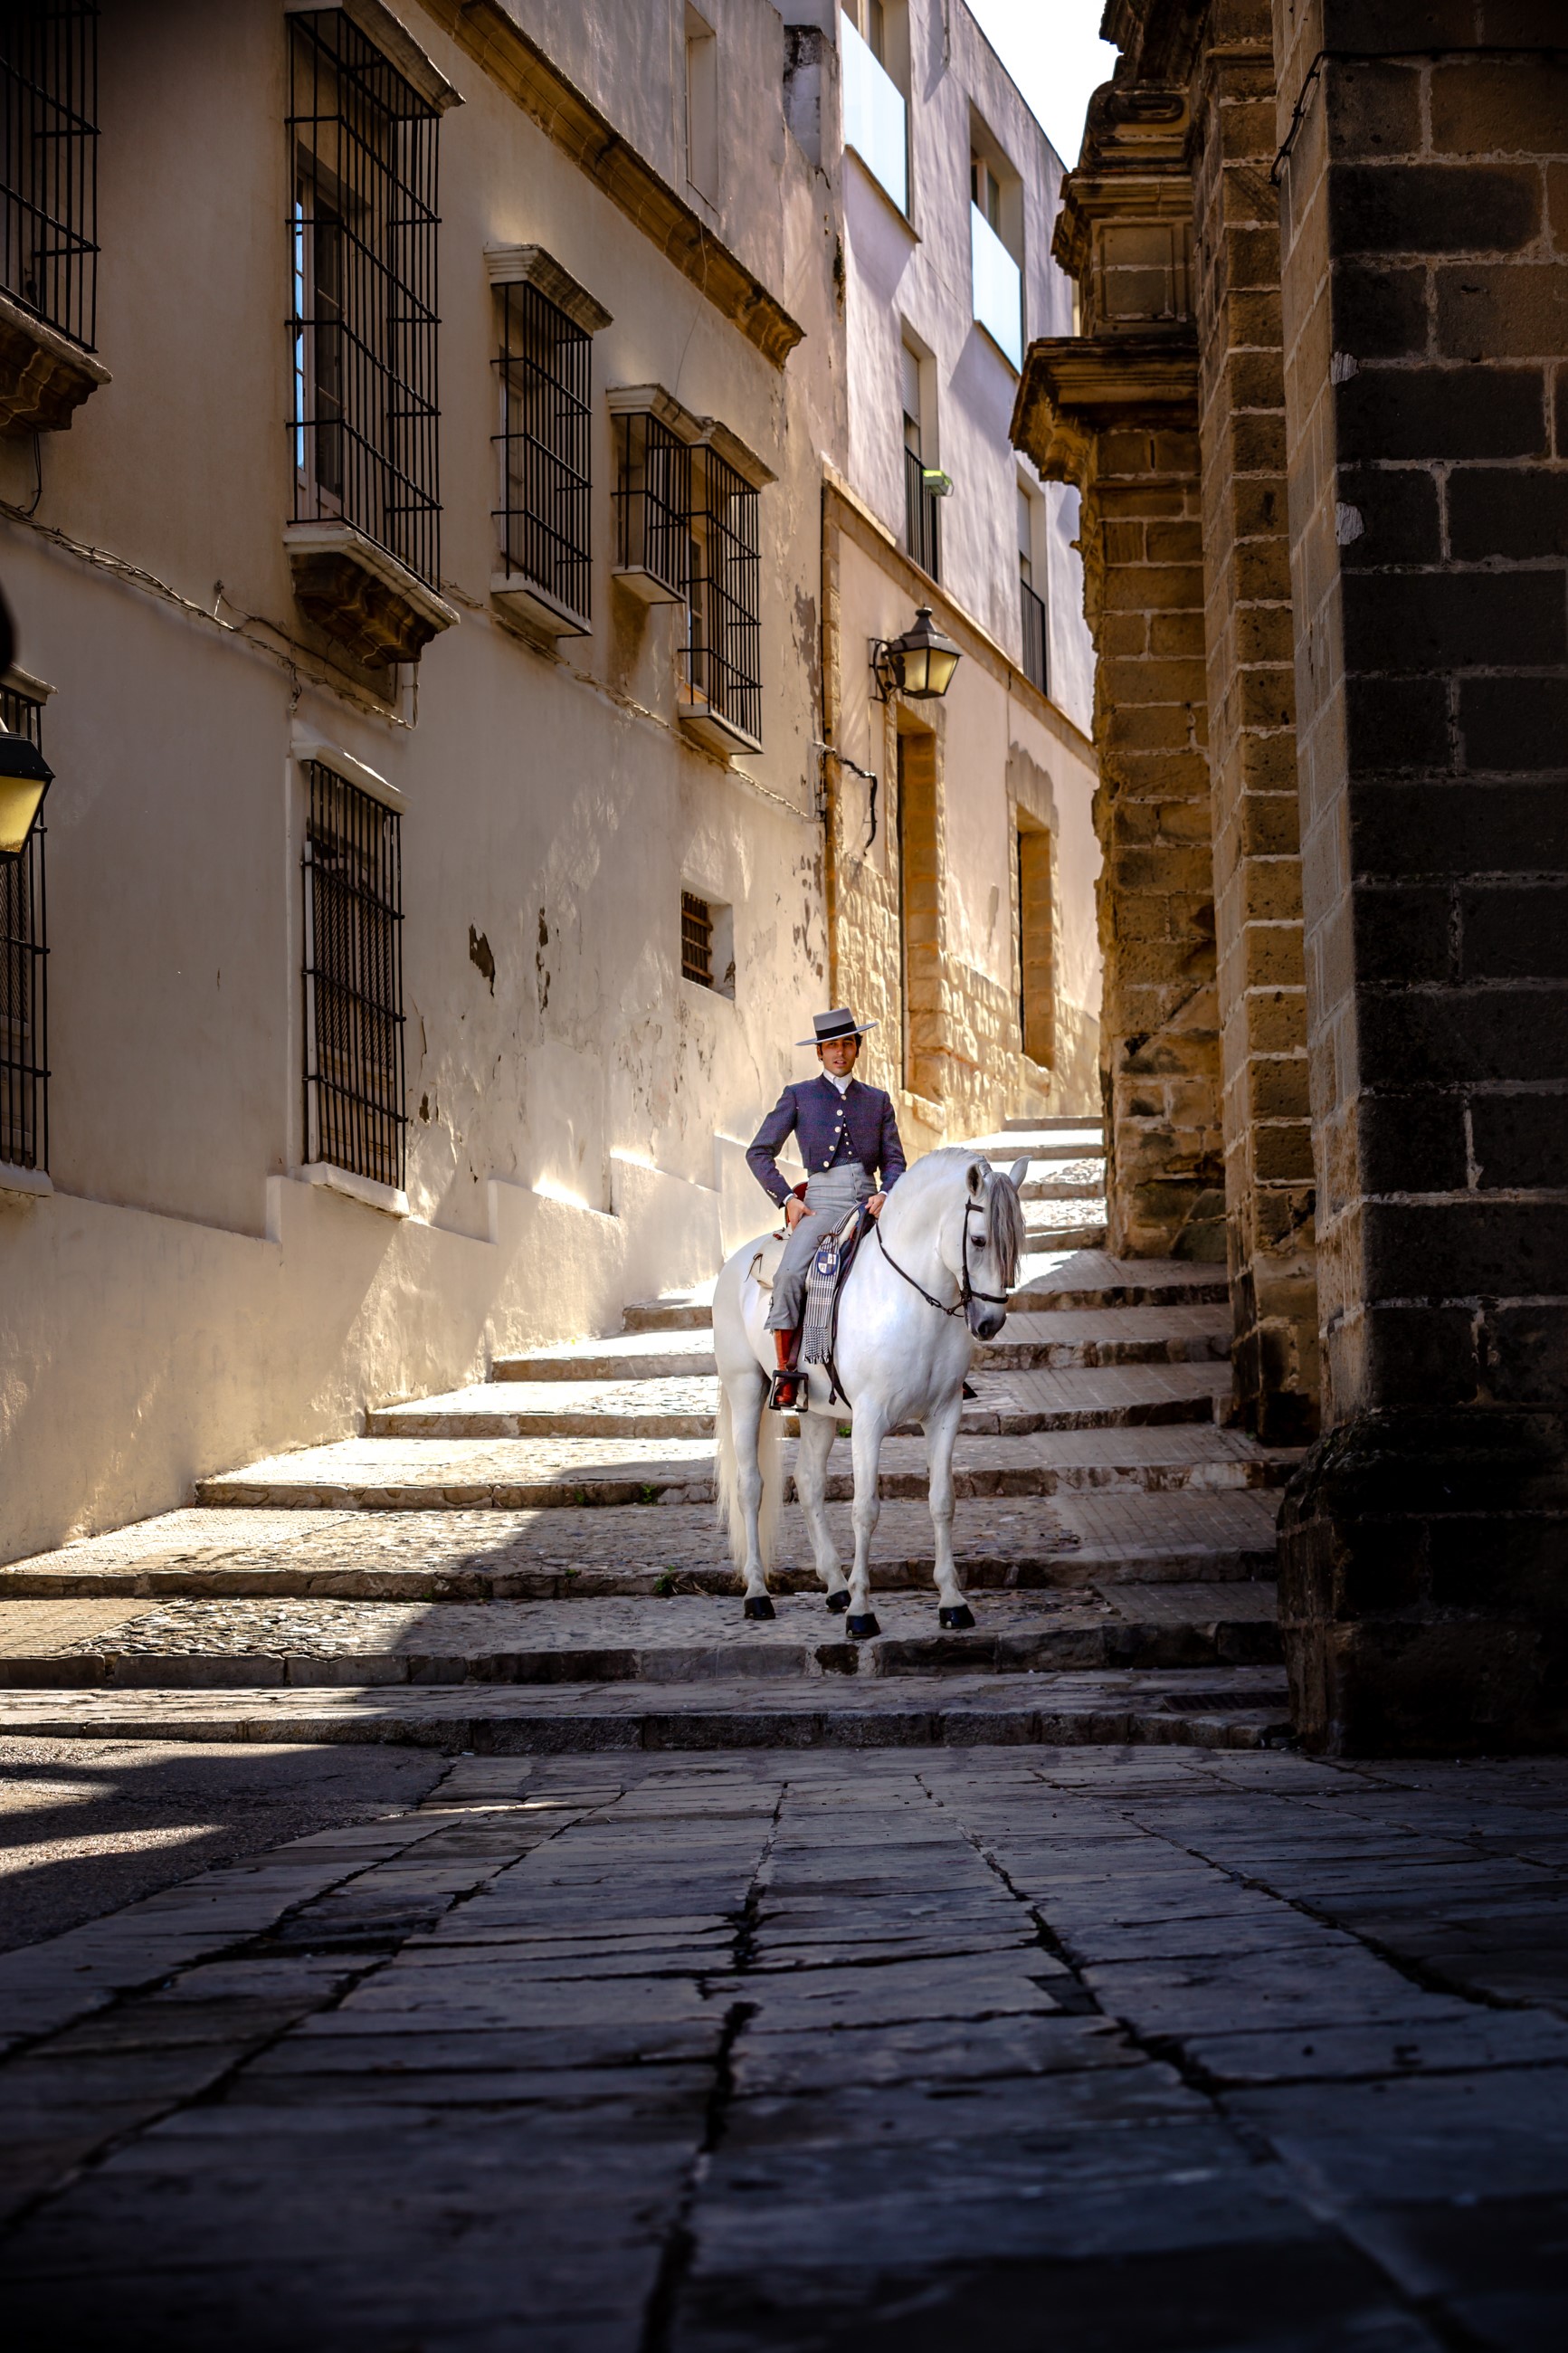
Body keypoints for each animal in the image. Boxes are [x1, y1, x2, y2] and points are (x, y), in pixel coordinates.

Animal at [709, 1143, 1030, 1637]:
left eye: (1015, 1242)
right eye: (978, 1240)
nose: (990, 1323)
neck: (913, 1301)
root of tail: (735, 1265)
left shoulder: (945, 1415)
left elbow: (942, 1502)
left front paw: (952, 1602)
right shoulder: (869, 1419)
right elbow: (865, 1509)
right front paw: (863, 1612)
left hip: (818, 1411)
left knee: (809, 1482)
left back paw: (835, 1586)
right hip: (746, 1388)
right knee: (750, 1486)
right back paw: (759, 1594)